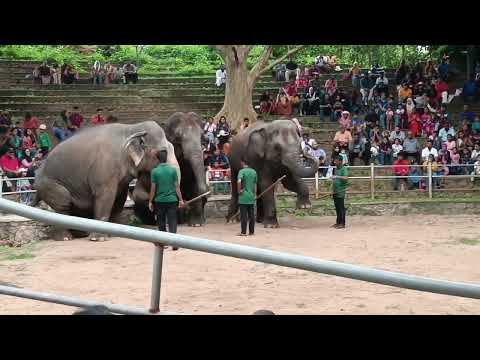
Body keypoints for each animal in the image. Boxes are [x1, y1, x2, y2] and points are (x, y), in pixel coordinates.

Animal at [32, 121, 180, 242]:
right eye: (162, 152)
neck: (131, 128)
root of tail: (38, 171)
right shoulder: (104, 167)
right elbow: (105, 196)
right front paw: (98, 239)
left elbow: (119, 198)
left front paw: (115, 233)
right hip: (49, 184)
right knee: (63, 204)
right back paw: (65, 238)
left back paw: (80, 234)